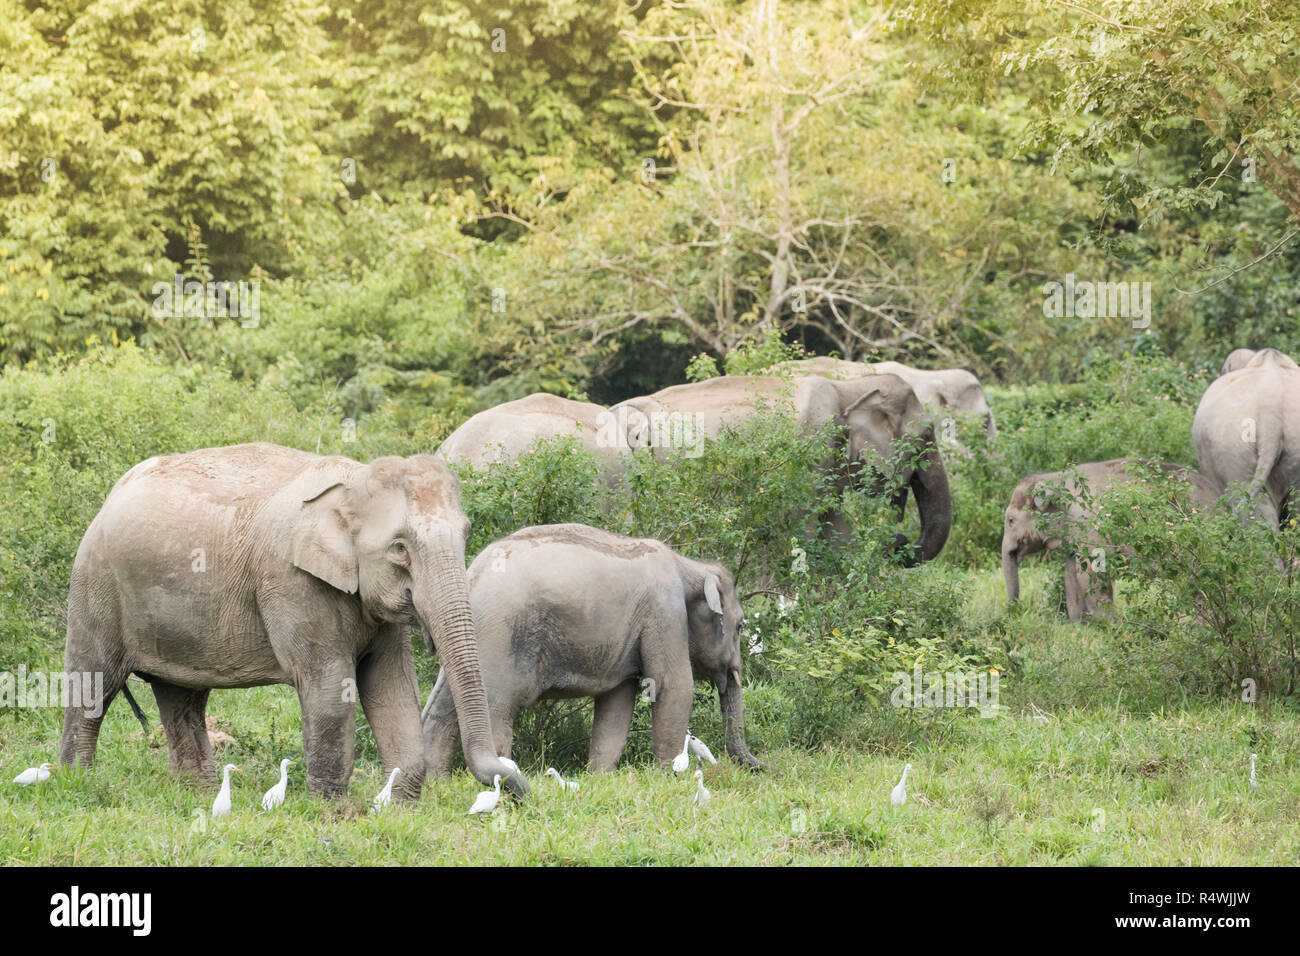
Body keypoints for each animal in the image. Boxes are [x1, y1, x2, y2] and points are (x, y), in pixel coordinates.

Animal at [57, 442, 526, 800]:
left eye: (467, 533)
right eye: (399, 548)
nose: (518, 789)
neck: (351, 483)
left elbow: (392, 684)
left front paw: (399, 806)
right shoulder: (291, 581)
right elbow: (330, 684)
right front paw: (333, 810)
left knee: (182, 696)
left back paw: (196, 793)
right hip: (96, 582)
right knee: (93, 682)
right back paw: (74, 782)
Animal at [423, 523, 760, 773]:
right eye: (740, 626)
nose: (761, 767)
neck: (689, 566)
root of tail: (472, 576)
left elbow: (617, 700)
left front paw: (601, 777)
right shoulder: (665, 611)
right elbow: (673, 685)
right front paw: (672, 775)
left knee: (443, 708)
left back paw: (439, 784)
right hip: (502, 636)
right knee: (497, 708)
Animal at [609, 373, 951, 564]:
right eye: (926, 435)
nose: (898, 538)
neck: (850, 387)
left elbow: (835, 530)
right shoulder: (814, 447)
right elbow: (803, 530)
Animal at [1001, 458, 1218, 622]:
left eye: (1011, 521)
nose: (1013, 612)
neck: (1052, 478)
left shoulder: (1090, 525)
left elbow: (1092, 571)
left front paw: (1107, 624)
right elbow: (1071, 572)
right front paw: (1080, 625)